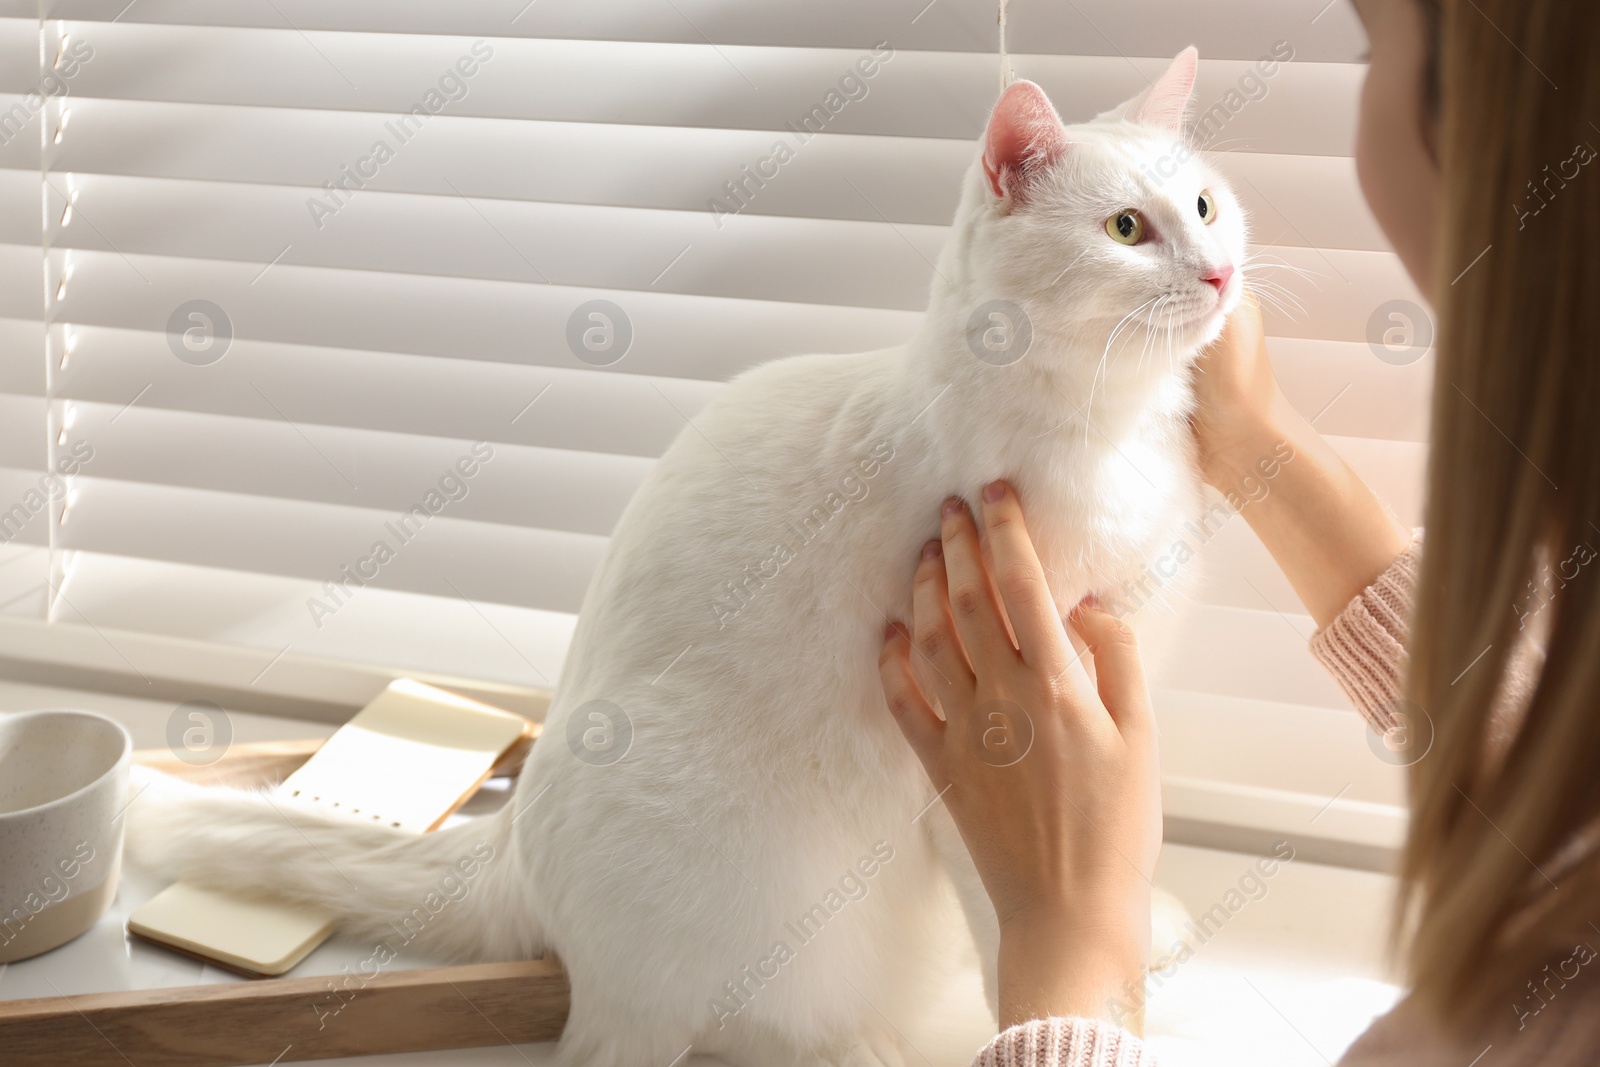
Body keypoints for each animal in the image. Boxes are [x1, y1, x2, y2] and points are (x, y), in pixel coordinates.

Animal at [128, 49, 1248, 1067]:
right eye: (1126, 228)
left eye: (1203, 204)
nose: (1220, 269)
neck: (1114, 433)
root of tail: (510, 853)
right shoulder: (981, 736)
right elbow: (1009, 904)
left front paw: (1147, 931)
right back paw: (855, 1047)